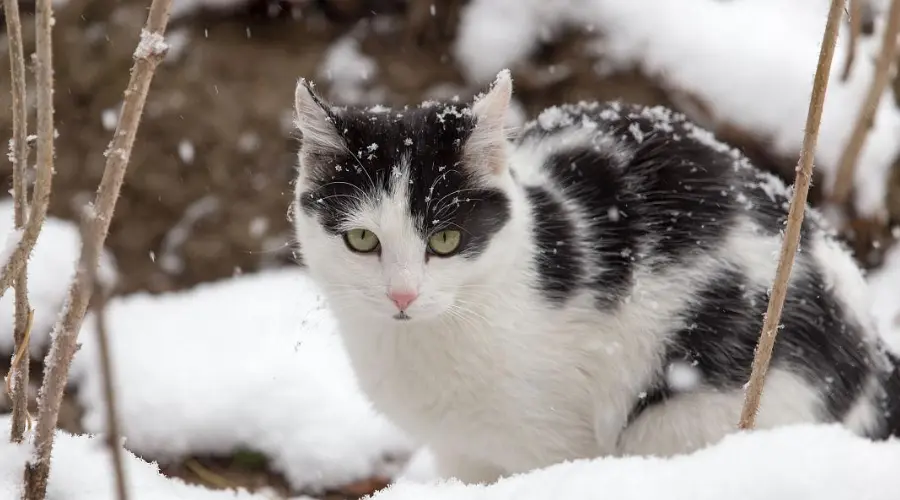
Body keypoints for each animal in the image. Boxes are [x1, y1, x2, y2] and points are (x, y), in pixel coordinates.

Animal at [290, 70, 900, 484]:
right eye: (362, 240)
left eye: (445, 240)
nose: (402, 294)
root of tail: (871, 351)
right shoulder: (463, 454)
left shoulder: (555, 444)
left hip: (685, 414)